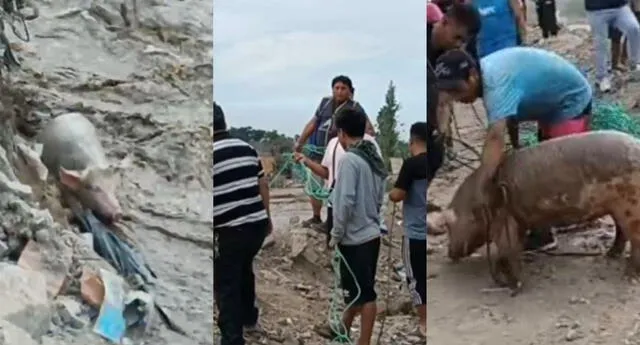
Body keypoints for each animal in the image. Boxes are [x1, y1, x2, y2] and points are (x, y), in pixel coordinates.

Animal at [428, 129, 640, 292]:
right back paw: (610, 255)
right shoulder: (518, 220)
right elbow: (512, 249)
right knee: (621, 232)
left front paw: (513, 286)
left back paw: (629, 276)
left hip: (630, 205)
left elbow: (508, 250)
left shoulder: (503, 222)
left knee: (635, 238)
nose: (450, 254)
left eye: (448, 225)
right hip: (616, 207)